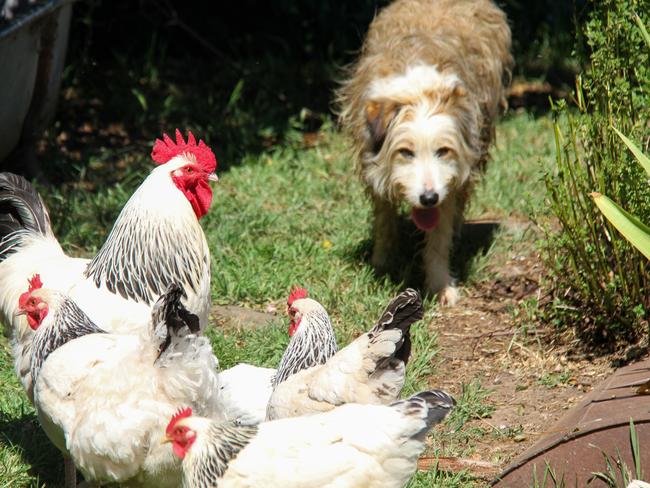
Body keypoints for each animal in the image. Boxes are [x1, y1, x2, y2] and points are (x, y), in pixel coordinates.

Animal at [334, 0, 512, 304]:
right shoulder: (373, 162)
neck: (418, 93)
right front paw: (383, 262)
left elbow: (439, 233)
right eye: (406, 152)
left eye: (443, 150)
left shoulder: (452, 178)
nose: (428, 198)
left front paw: (440, 284)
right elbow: (384, 217)